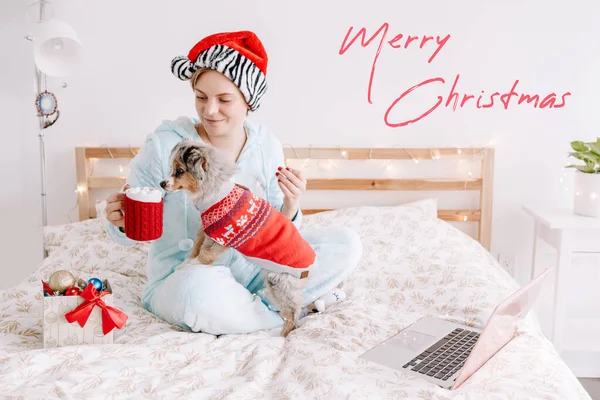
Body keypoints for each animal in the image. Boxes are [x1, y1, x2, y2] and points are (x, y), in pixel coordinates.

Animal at [159, 139, 318, 336]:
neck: (214, 193)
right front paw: (184, 264)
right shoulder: (206, 230)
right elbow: (195, 249)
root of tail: (309, 266)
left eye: (179, 170)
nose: (161, 183)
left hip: (281, 283)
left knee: (291, 315)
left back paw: (282, 335)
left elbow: (204, 256)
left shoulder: (220, 237)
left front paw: (190, 265)